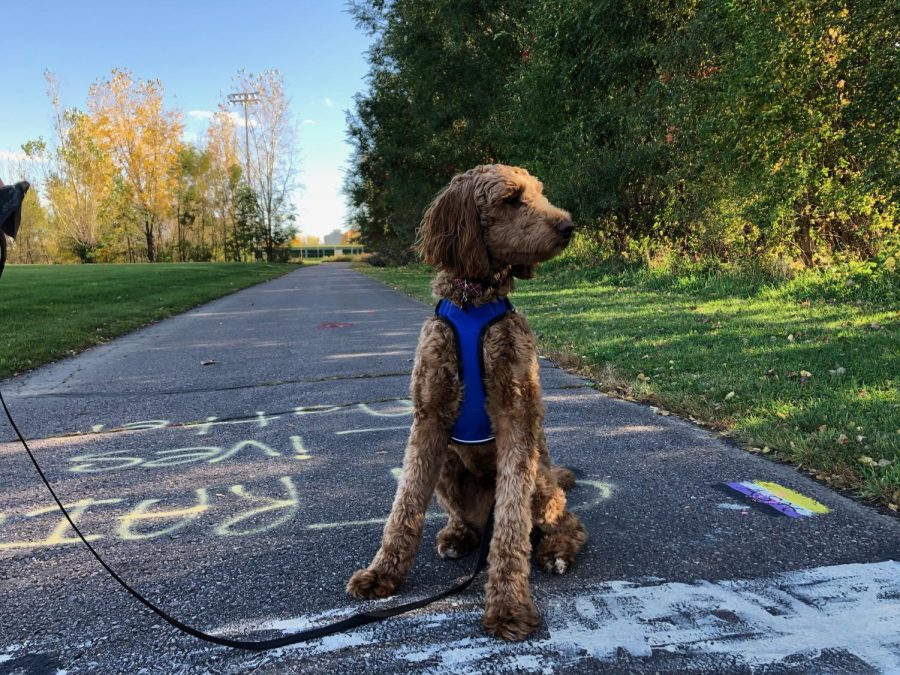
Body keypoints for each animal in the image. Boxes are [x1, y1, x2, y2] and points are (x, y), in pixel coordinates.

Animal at [346, 166, 592, 640]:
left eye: (540, 193)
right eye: (512, 199)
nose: (568, 226)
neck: (473, 298)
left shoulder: (517, 417)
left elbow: (511, 529)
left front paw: (509, 606)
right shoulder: (429, 418)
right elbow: (404, 505)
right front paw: (382, 573)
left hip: (540, 482)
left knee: (565, 522)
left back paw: (556, 550)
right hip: (448, 468)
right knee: (469, 522)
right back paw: (457, 536)